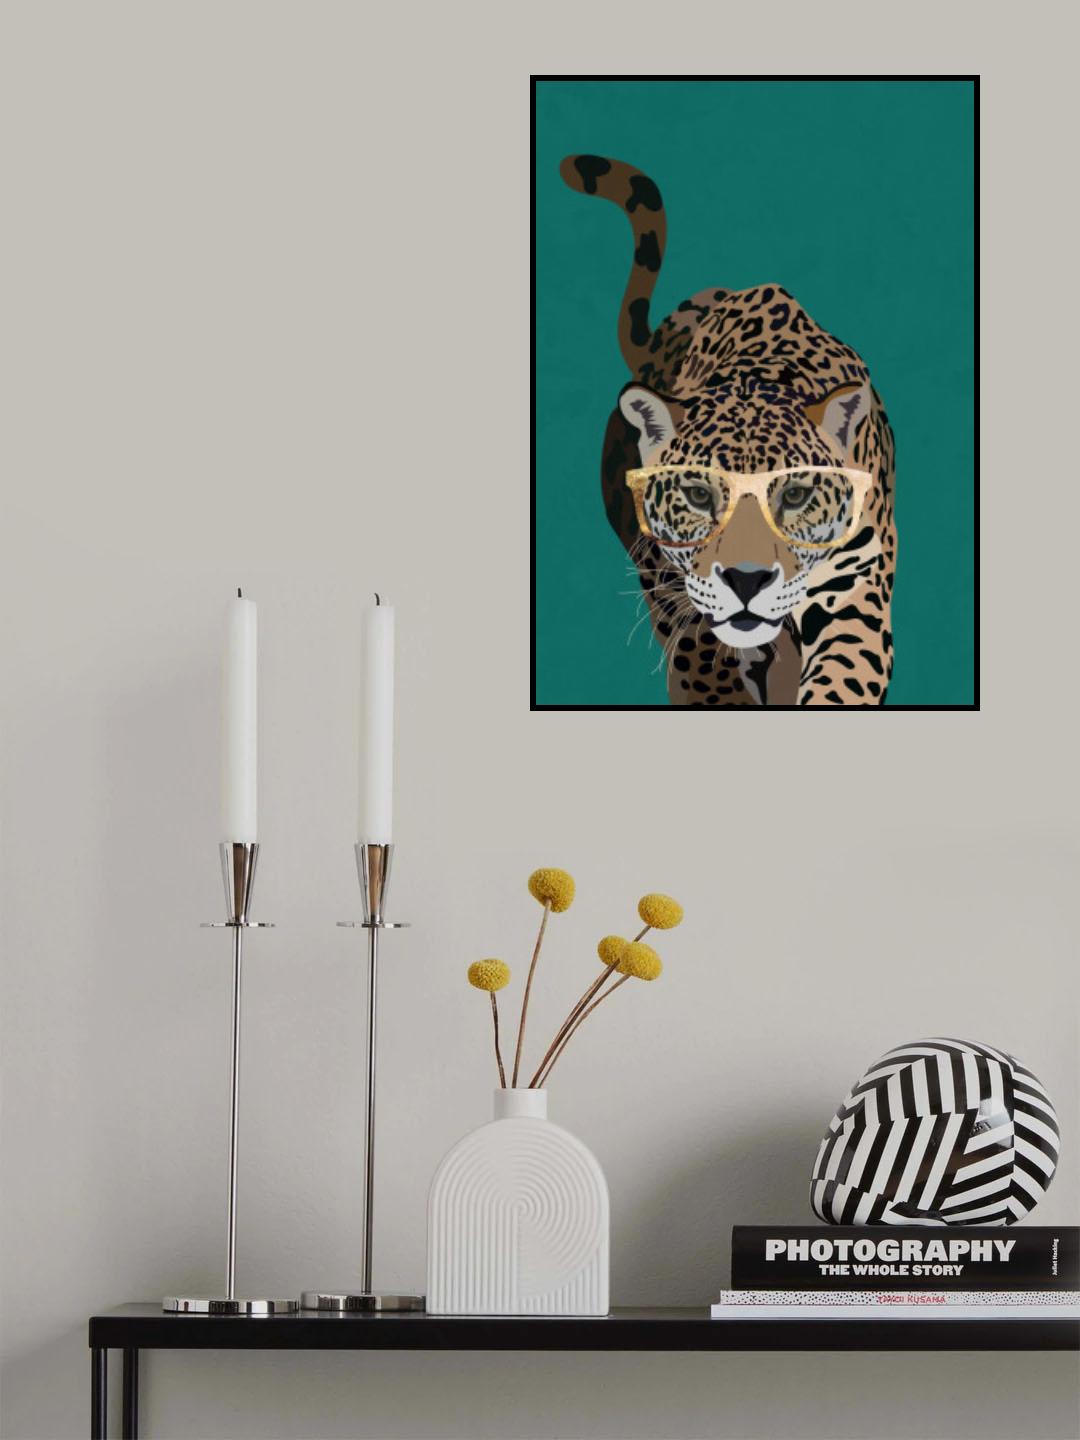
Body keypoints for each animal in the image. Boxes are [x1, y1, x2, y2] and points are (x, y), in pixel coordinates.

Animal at [559, 154, 897, 707]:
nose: (747, 580)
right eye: (698, 494)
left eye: (796, 495)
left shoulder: (855, 588)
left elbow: (842, 679)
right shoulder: (682, 600)